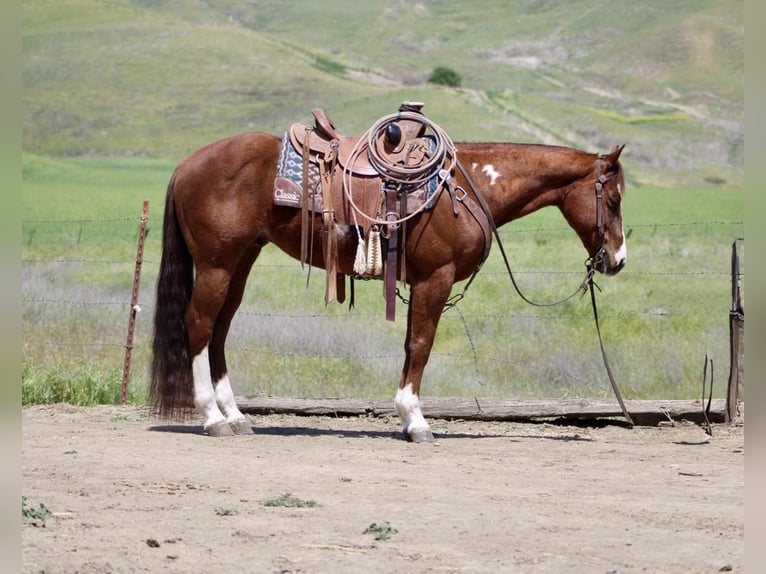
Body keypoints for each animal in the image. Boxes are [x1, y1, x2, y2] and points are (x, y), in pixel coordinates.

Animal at [150, 115, 627, 443]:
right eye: (615, 200)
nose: (618, 260)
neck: (466, 187)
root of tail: (187, 165)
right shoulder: (435, 278)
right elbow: (421, 345)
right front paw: (415, 421)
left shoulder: (421, 284)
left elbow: (411, 345)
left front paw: (406, 418)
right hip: (216, 263)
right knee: (199, 324)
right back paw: (212, 418)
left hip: (241, 260)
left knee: (220, 329)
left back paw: (235, 415)